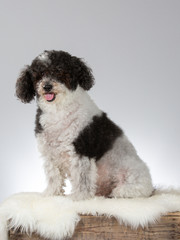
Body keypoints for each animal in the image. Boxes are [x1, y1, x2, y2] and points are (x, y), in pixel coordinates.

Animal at [15, 49, 153, 200]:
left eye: (59, 71)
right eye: (38, 75)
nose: (47, 86)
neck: (58, 111)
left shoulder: (81, 151)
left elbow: (82, 178)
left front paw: (80, 198)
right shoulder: (50, 153)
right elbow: (54, 177)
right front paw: (51, 194)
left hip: (131, 176)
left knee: (128, 190)